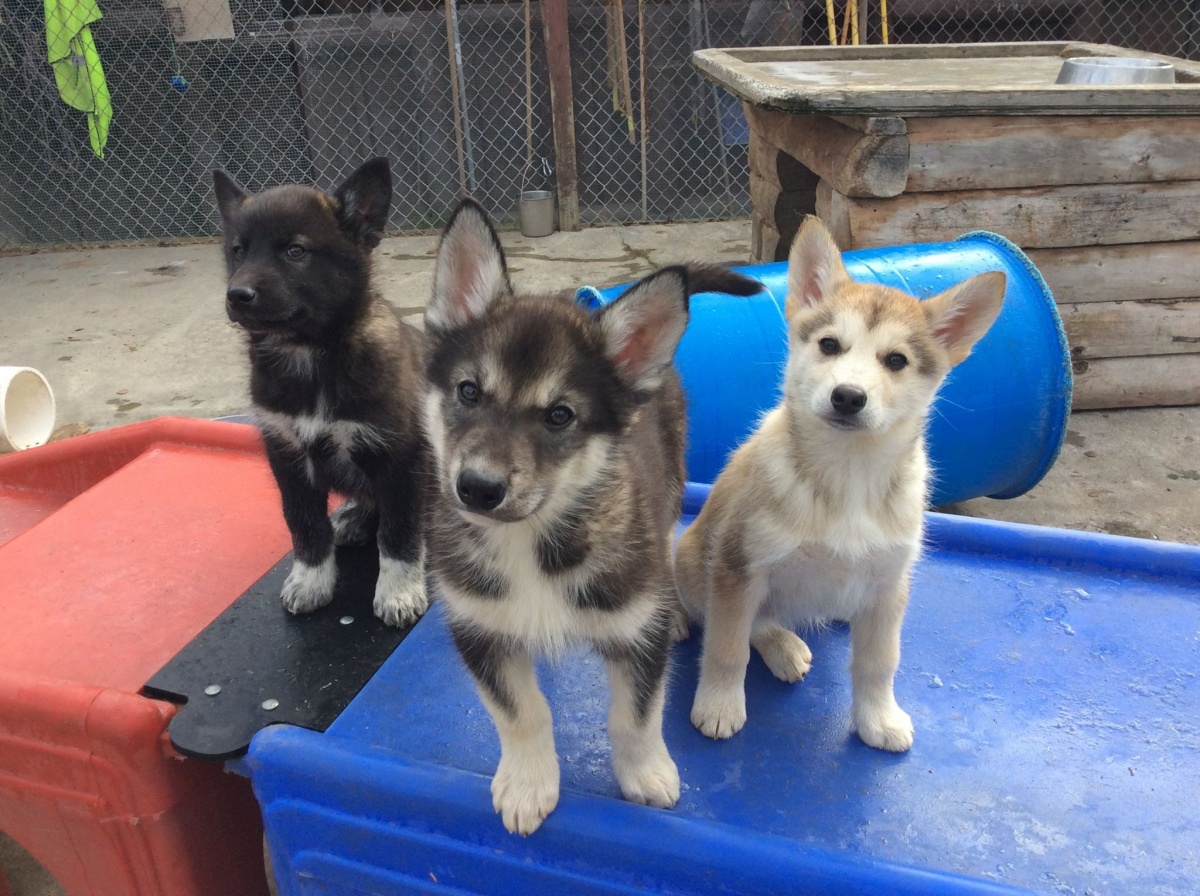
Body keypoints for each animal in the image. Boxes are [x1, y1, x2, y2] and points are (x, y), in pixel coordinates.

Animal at [216, 159, 432, 623]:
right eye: (238, 250)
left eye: (295, 251)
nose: (237, 295)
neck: (310, 354)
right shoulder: (287, 457)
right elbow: (304, 524)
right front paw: (311, 580)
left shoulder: (402, 457)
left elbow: (400, 532)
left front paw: (399, 591)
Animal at [422, 200, 758, 839]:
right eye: (469, 391)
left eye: (559, 416)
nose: (476, 488)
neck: (530, 540)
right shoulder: (479, 627)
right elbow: (521, 712)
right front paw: (528, 783)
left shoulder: (636, 631)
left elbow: (635, 715)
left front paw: (646, 775)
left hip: (670, 493)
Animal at [676, 217, 1003, 748]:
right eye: (829, 345)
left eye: (896, 361)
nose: (848, 397)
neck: (848, 478)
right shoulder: (738, 569)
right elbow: (728, 646)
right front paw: (719, 705)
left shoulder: (891, 583)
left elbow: (880, 662)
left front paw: (878, 719)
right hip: (694, 560)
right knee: (751, 621)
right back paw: (781, 646)